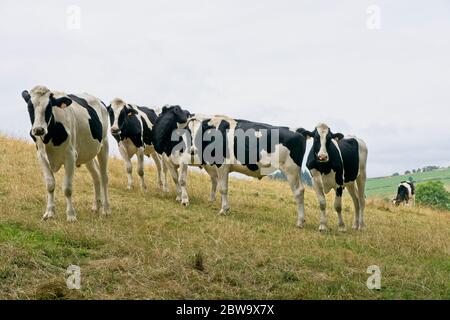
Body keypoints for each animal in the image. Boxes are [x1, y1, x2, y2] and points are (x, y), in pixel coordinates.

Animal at [21, 85, 111, 221]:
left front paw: (71, 215)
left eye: (49, 107)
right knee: (96, 175)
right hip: (87, 152)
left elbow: (67, 188)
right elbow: (50, 184)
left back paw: (105, 210)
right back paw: (96, 206)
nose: (38, 130)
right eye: (29, 107)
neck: (50, 137)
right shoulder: (41, 156)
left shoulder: (70, 156)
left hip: (104, 145)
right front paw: (49, 212)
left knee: (104, 176)